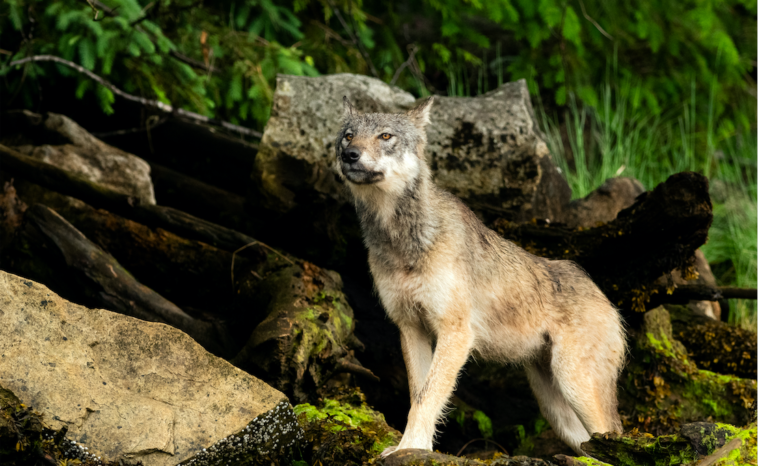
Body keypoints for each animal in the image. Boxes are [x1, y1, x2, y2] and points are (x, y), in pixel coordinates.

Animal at [333, 96, 626, 457]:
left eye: (386, 136)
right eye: (348, 136)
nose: (350, 154)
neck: (402, 241)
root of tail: (603, 295)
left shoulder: (456, 334)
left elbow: (427, 397)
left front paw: (409, 448)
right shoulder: (411, 328)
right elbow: (418, 394)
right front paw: (415, 448)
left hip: (575, 385)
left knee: (612, 433)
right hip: (558, 410)